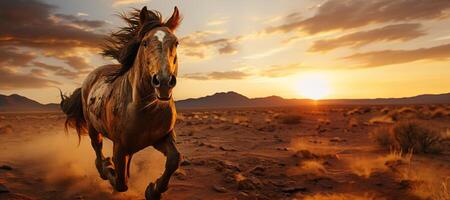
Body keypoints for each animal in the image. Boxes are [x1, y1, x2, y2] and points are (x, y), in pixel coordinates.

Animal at [60, 5, 182, 198]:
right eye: (145, 43)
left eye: (176, 42)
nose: (163, 82)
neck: (146, 110)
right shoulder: (120, 148)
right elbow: (120, 183)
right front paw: (110, 169)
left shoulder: (162, 138)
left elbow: (174, 160)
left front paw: (153, 190)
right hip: (93, 129)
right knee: (97, 150)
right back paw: (104, 167)